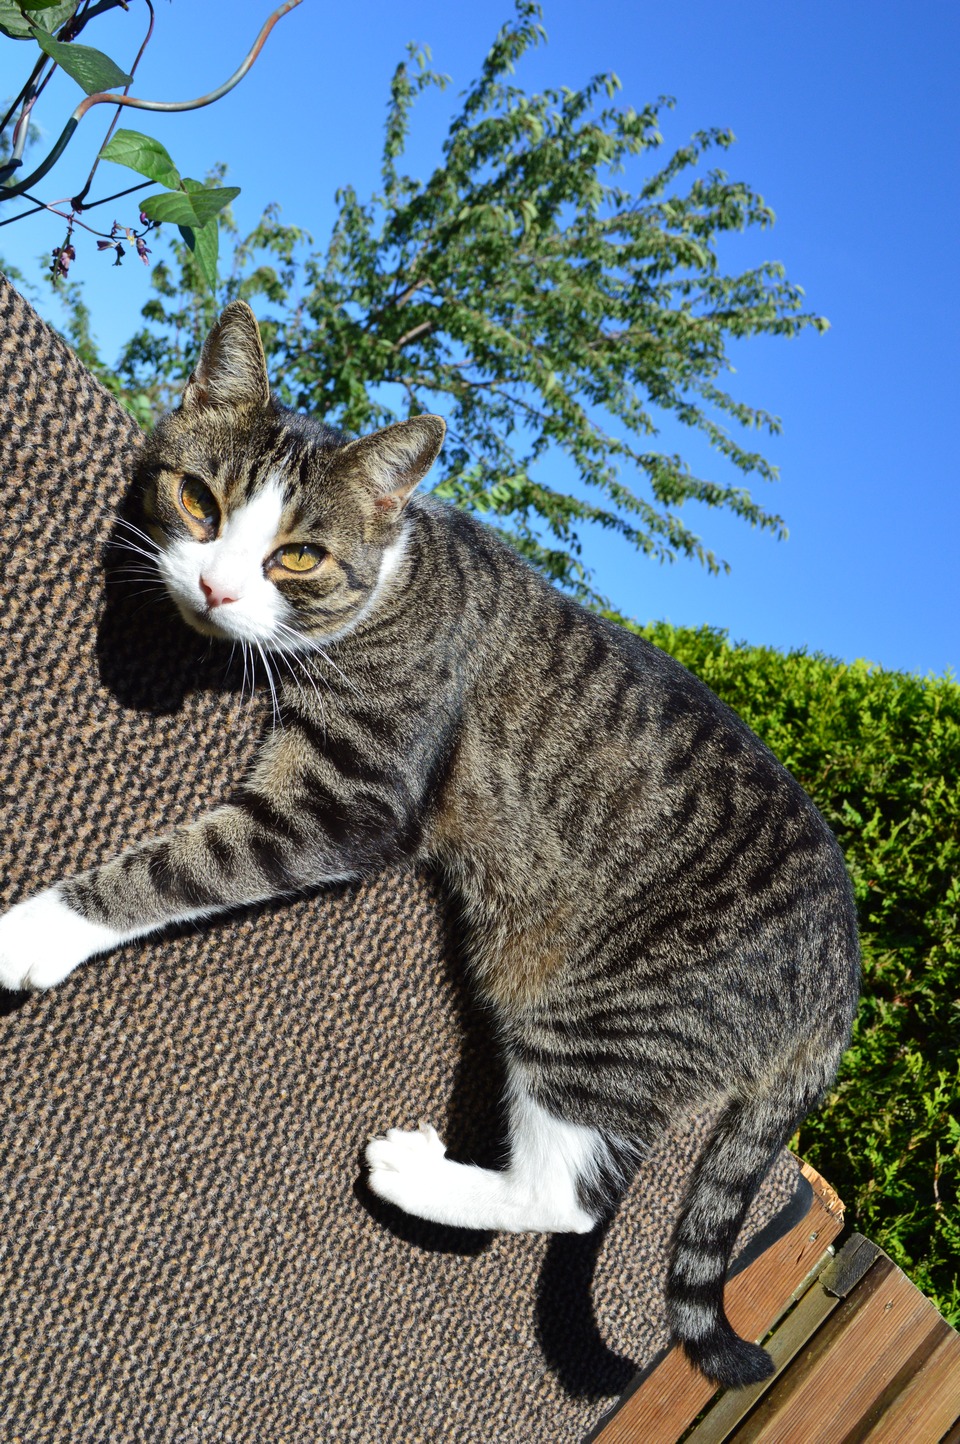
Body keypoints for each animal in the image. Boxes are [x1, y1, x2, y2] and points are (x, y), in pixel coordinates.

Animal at [0, 301, 854, 1386]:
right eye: (196, 498)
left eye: (299, 556)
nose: (215, 589)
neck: (400, 574)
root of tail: (843, 976)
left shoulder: (350, 799)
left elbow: (175, 865)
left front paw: (34, 930)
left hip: (600, 1017)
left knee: (569, 1197)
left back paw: (416, 1175)